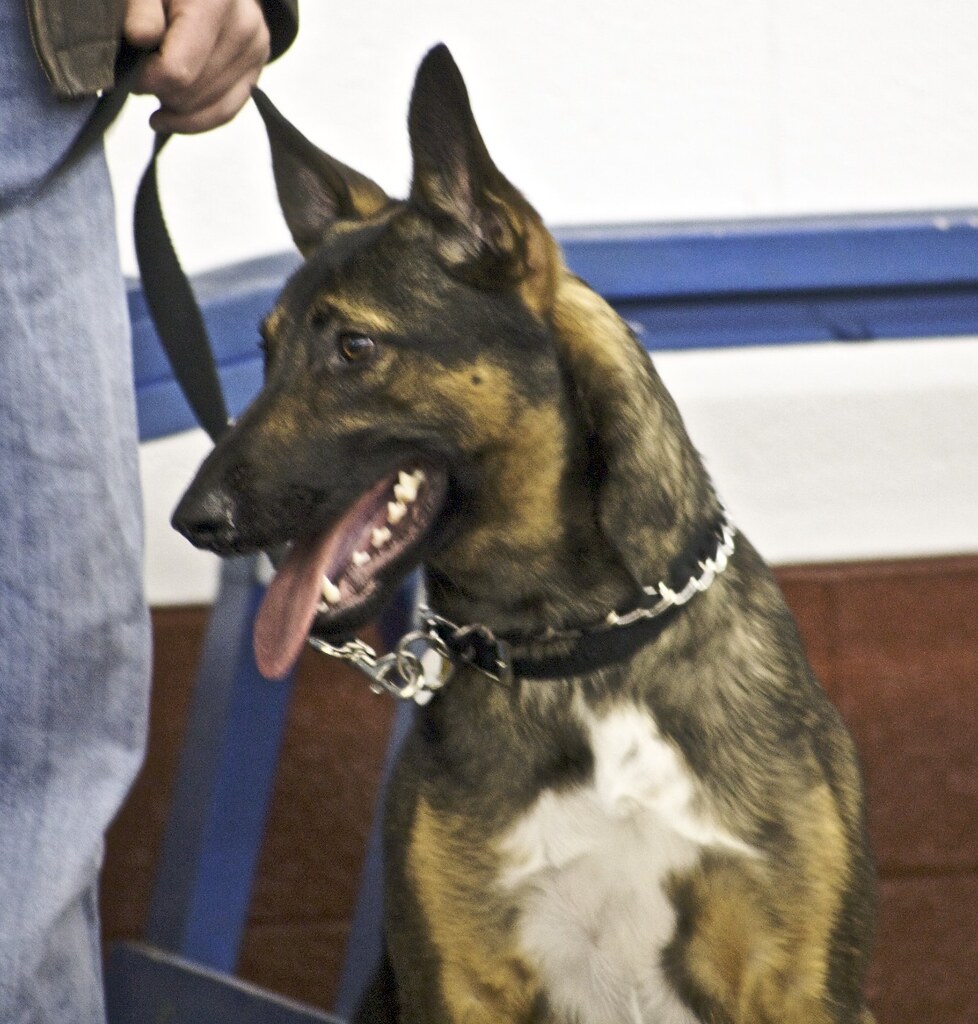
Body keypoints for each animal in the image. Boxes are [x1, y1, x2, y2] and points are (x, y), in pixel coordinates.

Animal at [172, 44, 876, 1024]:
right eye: (267, 352)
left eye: (354, 347)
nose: (194, 521)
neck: (579, 648)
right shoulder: (460, 983)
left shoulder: (794, 984)